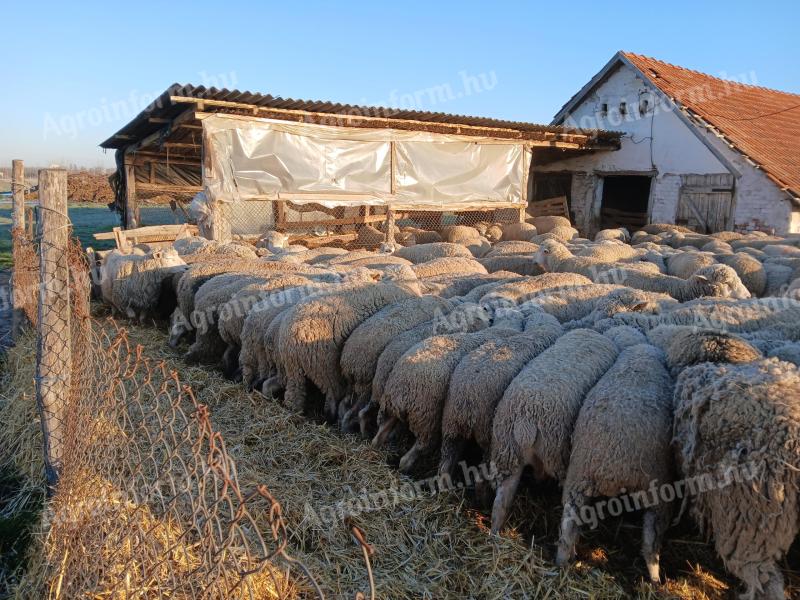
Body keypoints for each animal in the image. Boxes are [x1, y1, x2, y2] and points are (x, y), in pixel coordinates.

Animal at [280, 278, 422, 422]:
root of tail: (294, 334)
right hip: (325, 367)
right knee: (332, 397)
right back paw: (330, 417)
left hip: (293, 369)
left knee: (293, 396)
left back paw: (294, 414)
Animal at [556, 344, 676, 584]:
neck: (641, 356)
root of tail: (614, 466)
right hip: (658, 494)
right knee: (651, 541)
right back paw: (655, 578)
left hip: (578, 478)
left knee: (568, 524)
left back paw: (562, 560)